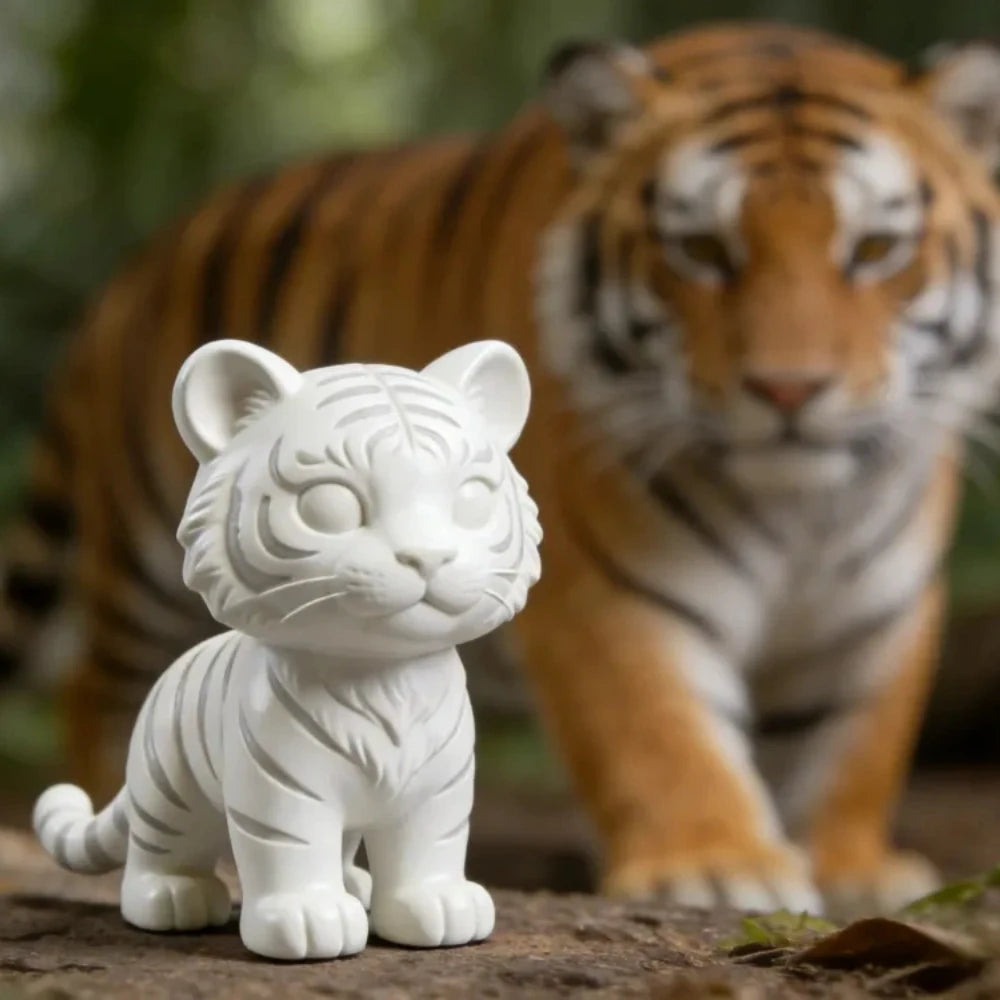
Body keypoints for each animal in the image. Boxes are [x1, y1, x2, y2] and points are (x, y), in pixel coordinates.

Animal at [5, 21, 1000, 914]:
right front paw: (717, 864)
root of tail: (128, 274)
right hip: (140, 561)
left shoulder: (881, 610)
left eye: (875, 249)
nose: (789, 389)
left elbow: (855, 747)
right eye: (702, 251)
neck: (804, 516)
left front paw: (852, 867)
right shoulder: (610, 592)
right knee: (97, 684)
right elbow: (660, 729)